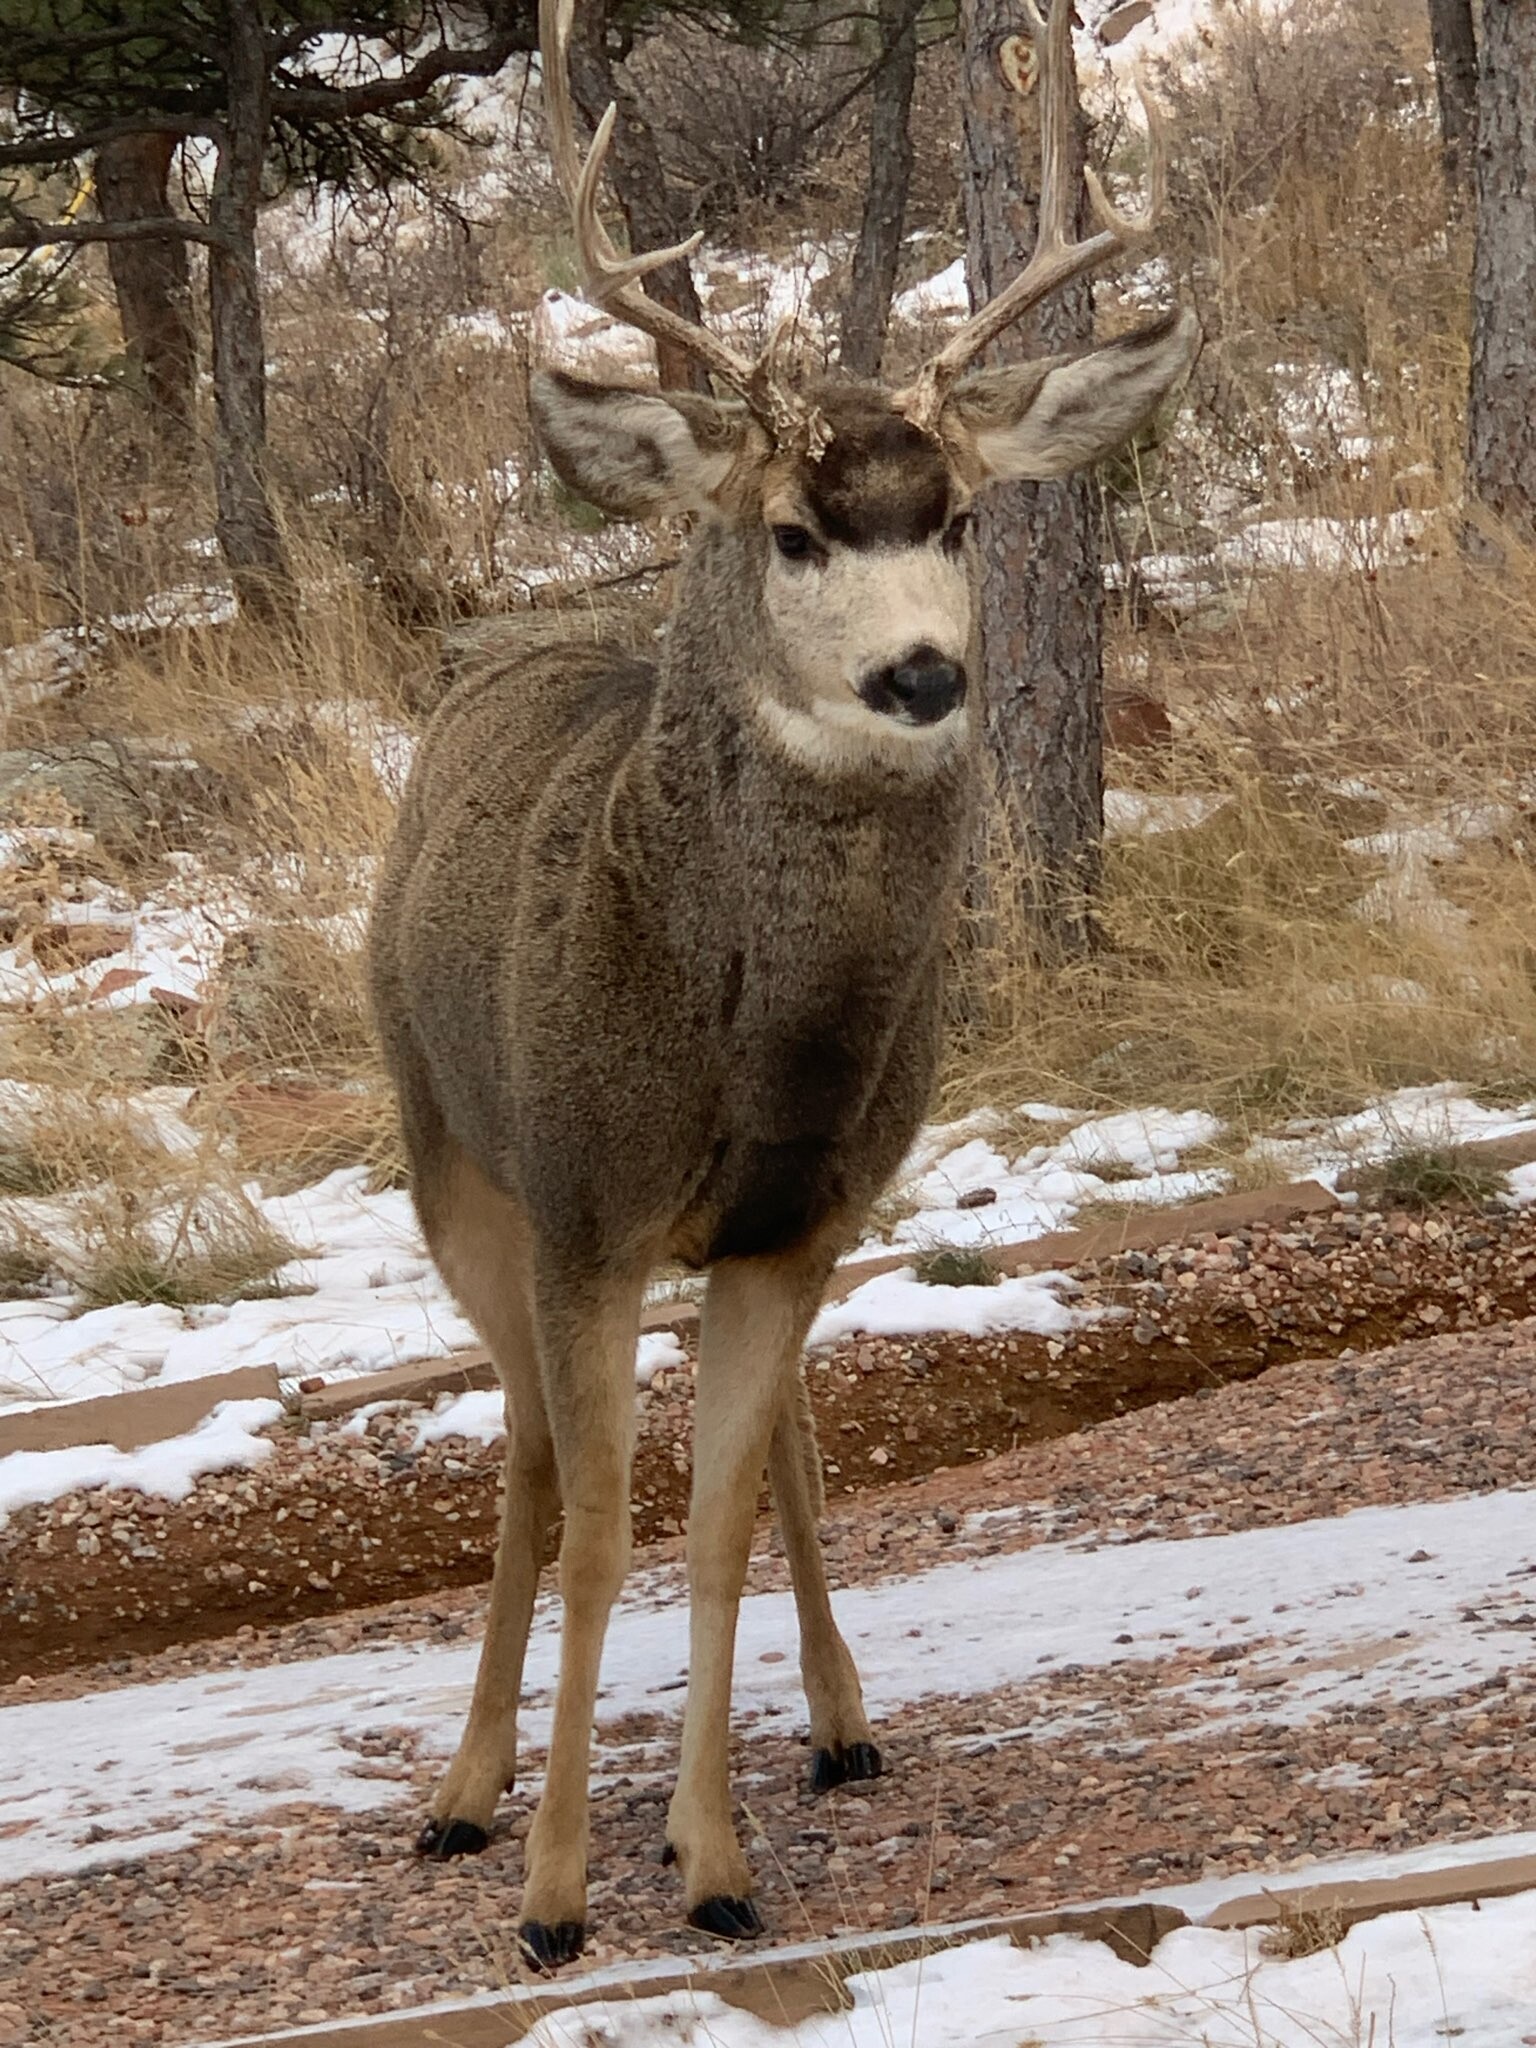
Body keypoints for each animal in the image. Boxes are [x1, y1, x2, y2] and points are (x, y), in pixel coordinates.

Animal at [370, 0, 1204, 1966]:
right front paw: (555, 1895)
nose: (923, 676)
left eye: (961, 517)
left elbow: (726, 1510)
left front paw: (716, 1860)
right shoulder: (586, 1204)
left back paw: (834, 1727)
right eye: (794, 533)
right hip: (450, 1153)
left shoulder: (793, 1216)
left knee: (791, 1455)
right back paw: (460, 1798)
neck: (734, 1043)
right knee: (525, 1462)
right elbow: (602, 1523)